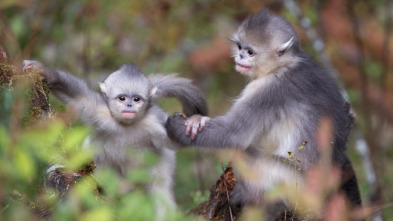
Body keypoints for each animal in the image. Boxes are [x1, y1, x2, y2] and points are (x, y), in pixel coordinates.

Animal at [23, 59, 208, 218]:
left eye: (136, 99)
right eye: (122, 98)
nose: (129, 106)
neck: (126, 124)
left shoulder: (155, 121)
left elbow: (173, 141)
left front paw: (195, 121)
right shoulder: (99, 110)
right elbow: (77, 96)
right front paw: (43, 71)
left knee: (160, 186)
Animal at [164, 8, 360, 219]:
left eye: (250, 52)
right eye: (240, 47)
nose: (240, 56)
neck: (286, 65)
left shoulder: (268, 90)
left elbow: (233, 134)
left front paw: (182, 125)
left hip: (293, 186)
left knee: (247, 154)